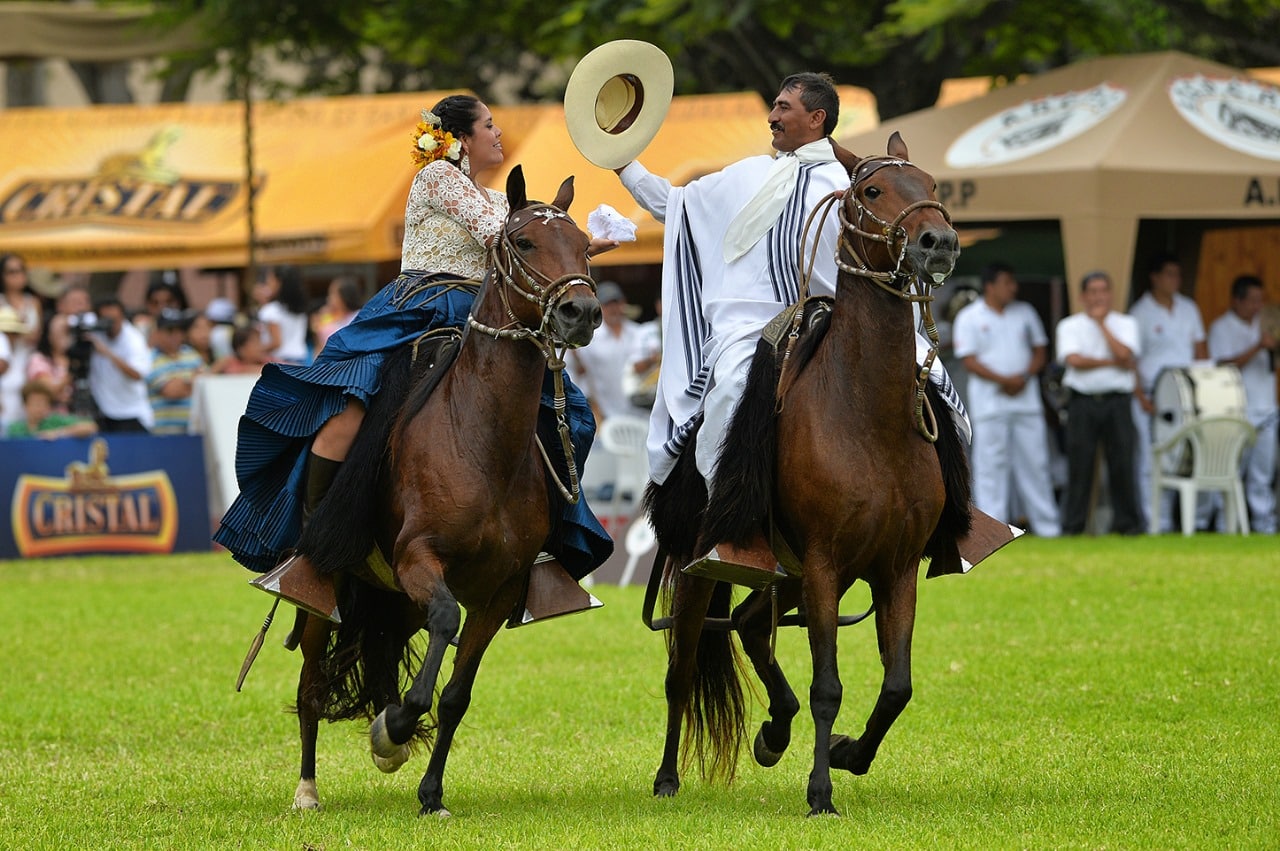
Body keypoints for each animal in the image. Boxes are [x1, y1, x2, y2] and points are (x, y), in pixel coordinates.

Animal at [284, 166, 601, 816]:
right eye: (523, 242)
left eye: (585, 245)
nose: (580, 311)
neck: (480, 442)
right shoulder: (419, 559)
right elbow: (445, 623)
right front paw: (396, 727)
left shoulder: (500, 590)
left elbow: (456, 693)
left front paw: (430, 791)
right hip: (330, 597)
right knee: (312, 683)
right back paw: (307, 789)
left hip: (393, 602)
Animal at [644, 132, 969, 816]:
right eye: (872, 190)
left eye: (930, 183)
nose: (938, 242)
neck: (868, 416)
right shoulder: (823, 563)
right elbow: (829, 686)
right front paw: (820, 792)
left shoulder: (896, 568)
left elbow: (897, 686)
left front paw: (849, 755)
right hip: (705, 567)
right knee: (682, 669)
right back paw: (667, 777)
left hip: (787, 573)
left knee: (748, 625)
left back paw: (775, 730)